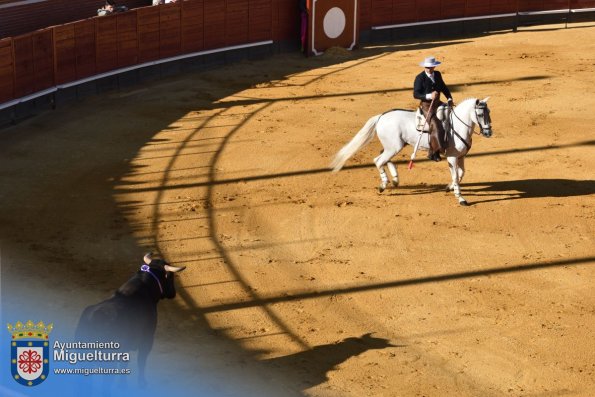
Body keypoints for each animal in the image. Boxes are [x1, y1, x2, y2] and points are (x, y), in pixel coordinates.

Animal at [75, 252, 185, 386]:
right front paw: (142, 383)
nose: (173, 293)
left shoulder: (126, 346)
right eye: (171, 277)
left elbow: (124, 363)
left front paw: (123, 384)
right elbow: (141, 362)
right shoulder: (147, 339)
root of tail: (94, 319)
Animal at [330, 97, 494, 206]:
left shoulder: (460, 157)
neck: (458, 126)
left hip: (394, 146)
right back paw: (383, 185)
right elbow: (455, 175)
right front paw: (461, 198)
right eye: (480, 114)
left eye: (489, 112)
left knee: (382, 158)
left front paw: (450, 188)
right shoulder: (452, 157)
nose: (488, 133)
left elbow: (460, 173)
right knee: (378, 160)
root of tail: (381, 116)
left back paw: (395, 180)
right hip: (394, 146)